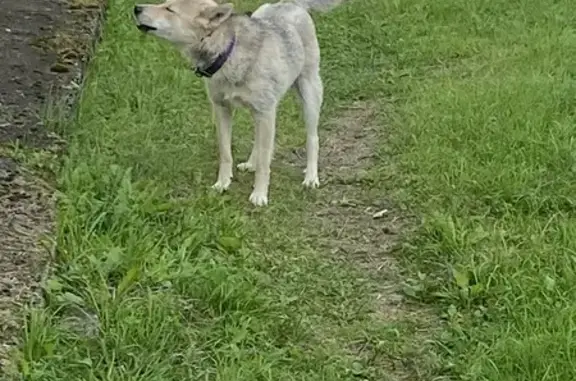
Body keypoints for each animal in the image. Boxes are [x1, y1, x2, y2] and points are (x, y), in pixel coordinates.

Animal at [133, 0, 344, 205]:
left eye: (169, 9)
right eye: (164, 4)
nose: (136, 8)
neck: (229, 52)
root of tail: (292, 4)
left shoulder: (265, 113)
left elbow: (264, 164)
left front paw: (259, 195)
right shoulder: (223, 110)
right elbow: (226, 154)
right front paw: (222, 183)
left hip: (309, 96)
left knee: (312, 139)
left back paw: (311, 177)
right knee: (259, 142)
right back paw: (251, 163)